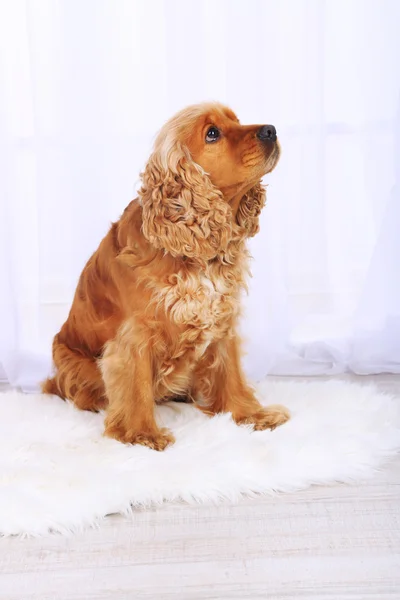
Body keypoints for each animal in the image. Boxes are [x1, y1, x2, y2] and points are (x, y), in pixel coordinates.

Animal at [43, 104, 288, 450]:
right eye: (212, 133)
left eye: (236, 120)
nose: (271, 130)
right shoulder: (135, 335)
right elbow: (136, 386)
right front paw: (141, 434)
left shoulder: (222, 318)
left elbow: (231, 373)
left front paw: (251, 415)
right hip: (71, 360)